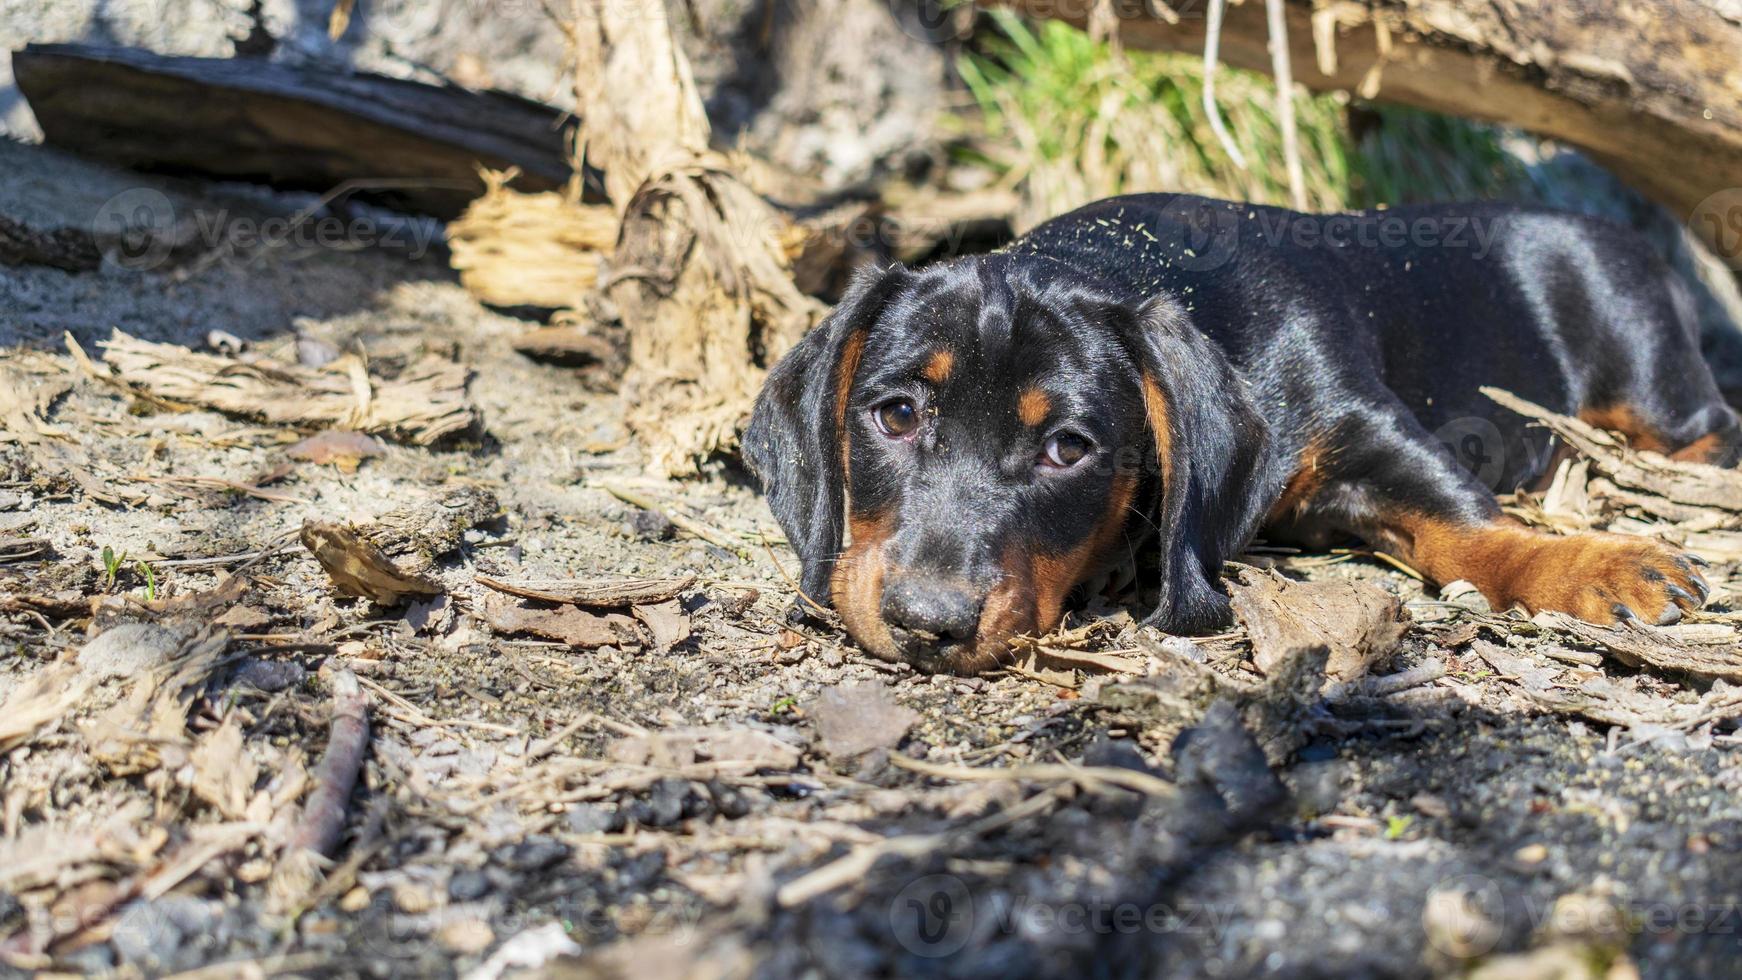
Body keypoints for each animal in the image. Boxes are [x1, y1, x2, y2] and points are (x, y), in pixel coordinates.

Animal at [749, 195, 1742, 678]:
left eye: (1069, 448)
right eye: (896, 414)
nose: (929, 624)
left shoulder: (1368, 427)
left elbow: (1474, 528)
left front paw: (1593, 564)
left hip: (1653, 381)